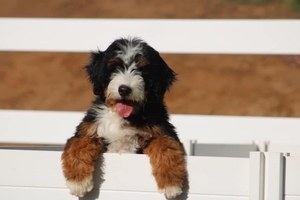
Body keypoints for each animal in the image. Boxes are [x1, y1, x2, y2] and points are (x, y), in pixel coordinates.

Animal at [61, 37, 186, 198]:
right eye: (115, 67)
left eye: (142, 70)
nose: (124, 89)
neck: (122, 116)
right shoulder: (88, 129)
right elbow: (78, 145)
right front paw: (77, 182)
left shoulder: (162, 131)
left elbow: (167, 147)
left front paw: (172, 185)